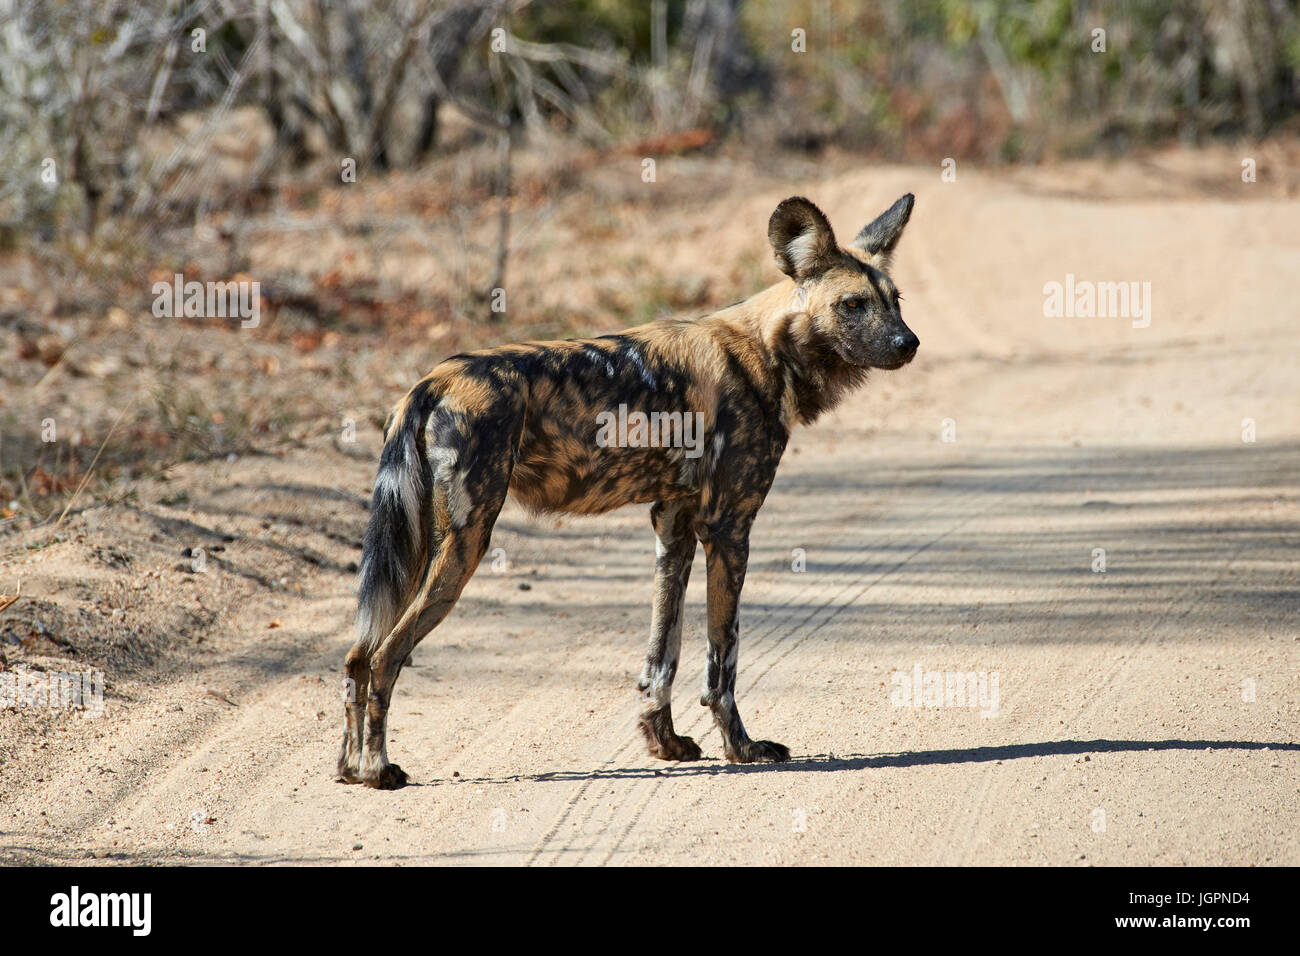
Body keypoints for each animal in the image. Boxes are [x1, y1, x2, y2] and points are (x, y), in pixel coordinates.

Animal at [340, 192, 920, 785]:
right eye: (852, 305)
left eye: (895, 300)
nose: (909, 343)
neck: (768, 349)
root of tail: (433, 381)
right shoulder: (728, 529)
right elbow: (722, 661)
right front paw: (742, 748)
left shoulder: (674, 526)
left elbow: (662, 654)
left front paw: (664, 742)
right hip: (464, 543)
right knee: (385, 658)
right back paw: (378, 768)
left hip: (415, 551)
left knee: (359, 656)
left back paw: (350, 767)